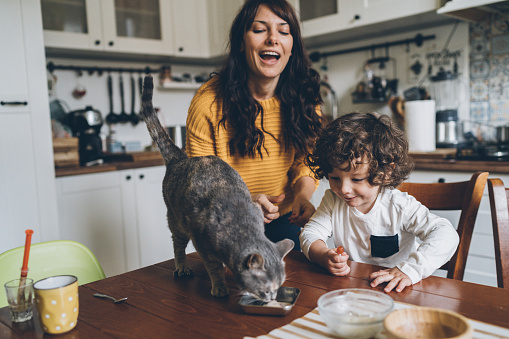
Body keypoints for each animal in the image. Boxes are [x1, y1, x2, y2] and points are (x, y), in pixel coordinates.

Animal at [141, 75, 296, 300]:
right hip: (176, 221)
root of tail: (181, 158)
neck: (241, 226)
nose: (272, 298)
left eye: (279, 286)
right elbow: (213, 267)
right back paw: (182, 267)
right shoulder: (202, 245)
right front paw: (220, 286)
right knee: (177, 246)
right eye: (267, 289)